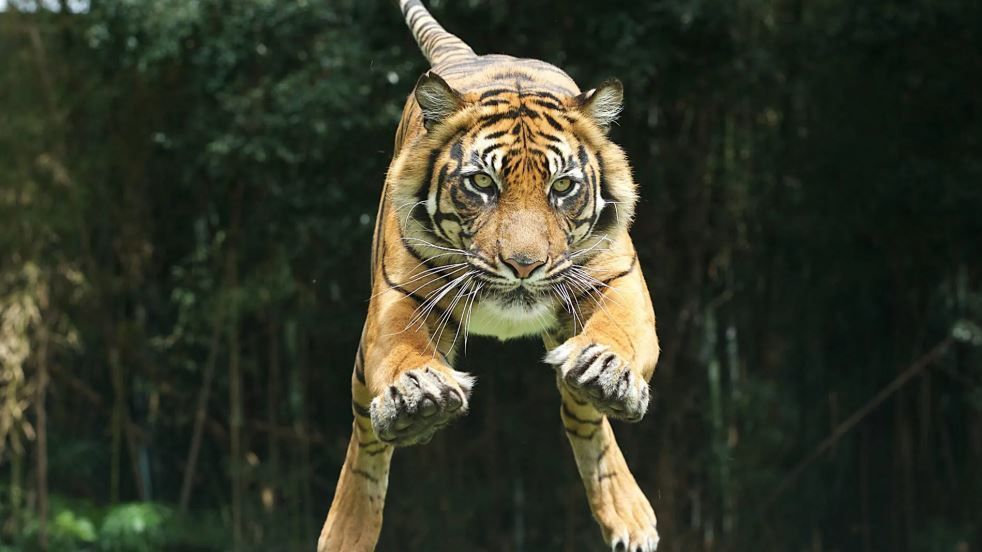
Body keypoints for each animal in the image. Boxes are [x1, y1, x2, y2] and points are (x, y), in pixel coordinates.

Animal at [318, 1, 661, 550]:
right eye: (482, 182)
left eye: (562, 187)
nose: (523, 265)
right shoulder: (396, 299)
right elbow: (402, 352)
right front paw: (418, 393)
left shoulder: (618, 277)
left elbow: (618, 333)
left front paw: (608, 370)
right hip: (361, 373)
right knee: (365, 435)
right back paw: (346, 531)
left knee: (583, 416)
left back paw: (627, 510)